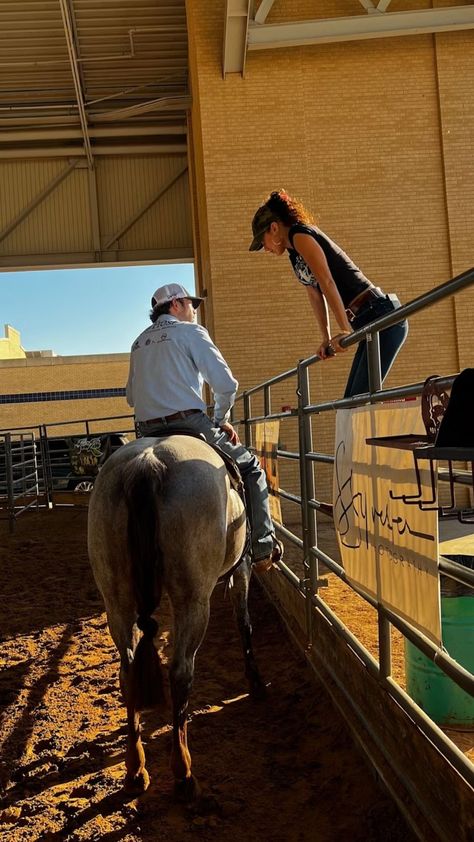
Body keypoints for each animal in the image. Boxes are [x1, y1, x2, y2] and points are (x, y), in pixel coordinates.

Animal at [88, 436, 266, 796]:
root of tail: (147, 464)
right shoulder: (242, 567)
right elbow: (244, 624)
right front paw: (254, 681)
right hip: (193, 600)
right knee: (181, 672)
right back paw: (183, 772)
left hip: (117, 602)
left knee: (128, 672)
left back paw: (135, 771)